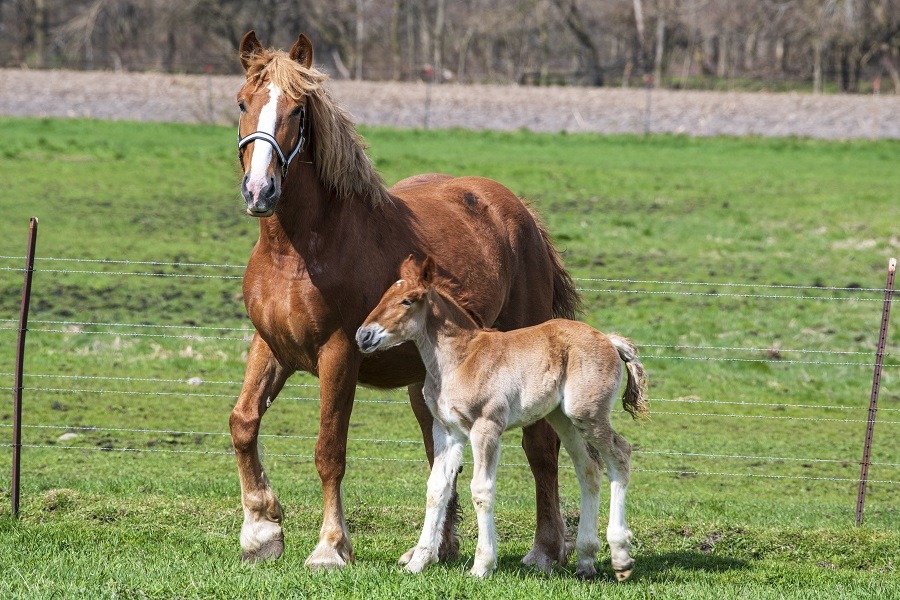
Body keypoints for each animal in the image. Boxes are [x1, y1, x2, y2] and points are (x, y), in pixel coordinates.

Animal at [229, 30, 580, 568]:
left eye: (297, 110)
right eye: (243, 103)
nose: (259, 190)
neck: (296, 251)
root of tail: (520, 213)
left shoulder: (339, 353)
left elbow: (329, 450)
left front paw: (330, 547)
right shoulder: (271, 346)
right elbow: (244, 423)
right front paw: (261, 531)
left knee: (540, 447)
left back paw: (544, 548)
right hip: (427, 384)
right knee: (443, 455)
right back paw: (439, 547)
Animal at [356, 255, 648, 580]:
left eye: (407, 300)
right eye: (383, 296)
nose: (363, 335)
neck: (460, 360)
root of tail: (609, 339)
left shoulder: (486, 428)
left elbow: (481, 489)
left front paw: (482, 565)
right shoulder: (447, 430)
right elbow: (437, 488)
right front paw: (419, 561)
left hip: (587, 413)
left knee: (620, 454)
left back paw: (621, 557)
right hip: (564, 419)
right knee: (589, 469)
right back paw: (586, 560)